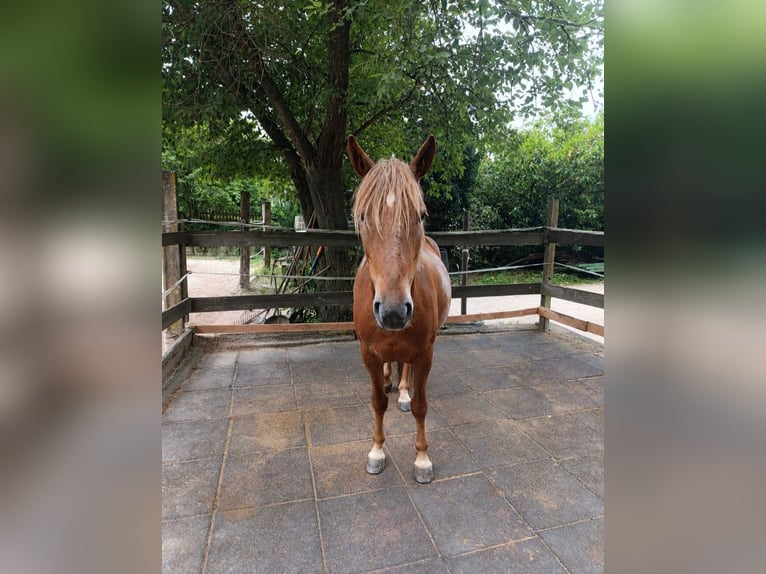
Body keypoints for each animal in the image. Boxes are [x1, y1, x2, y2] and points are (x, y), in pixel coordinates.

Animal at [347, 134, 451, 484]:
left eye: (420, 215)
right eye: (363, 216)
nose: (393, 312)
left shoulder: (425, 353)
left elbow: (421, 405)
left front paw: (422, 458)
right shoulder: (367, 352)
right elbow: (378, 402)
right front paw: (377, 451)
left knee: (405, 370)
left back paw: (403, 390)